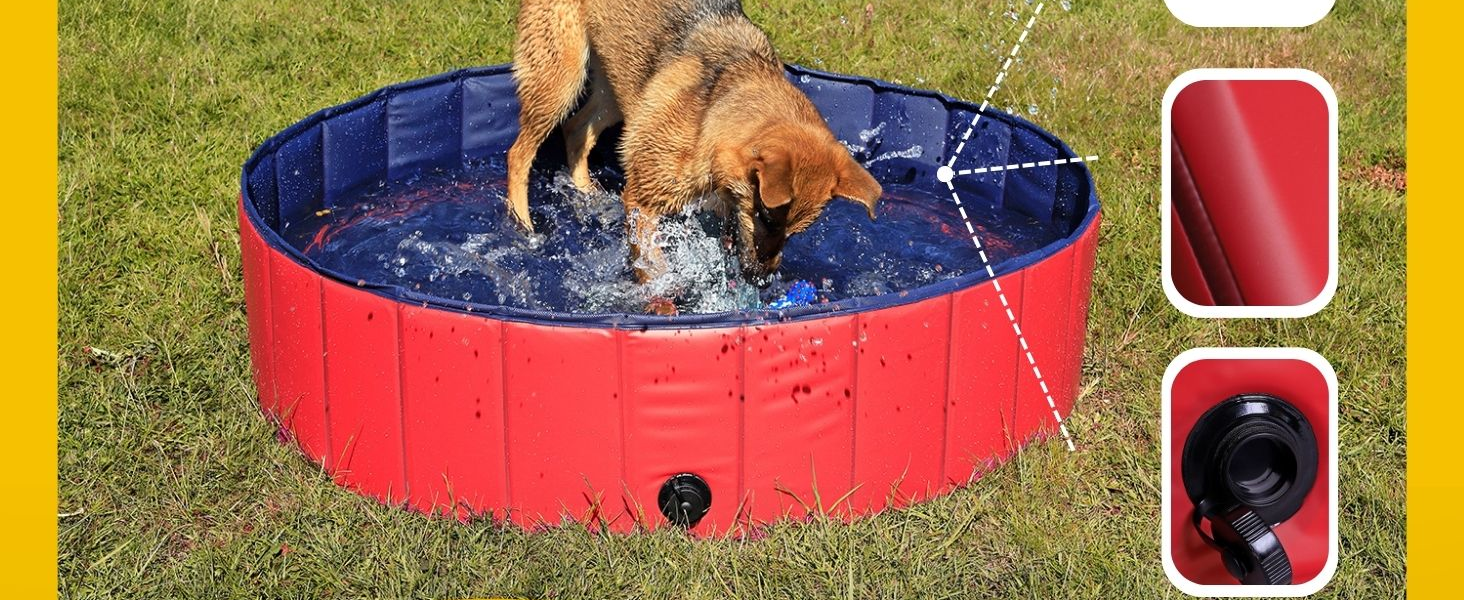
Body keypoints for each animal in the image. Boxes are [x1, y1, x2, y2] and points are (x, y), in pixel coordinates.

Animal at [506, 0, 878, 285]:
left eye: (795, 232)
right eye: (766, 217)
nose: (761, 280)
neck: (711, 116)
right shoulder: (643, 200)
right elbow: (652, 263)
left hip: (620, 87)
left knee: (576, 129)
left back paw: (586, 192)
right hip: (560, 76)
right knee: (519, 153)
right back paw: (523, 224)